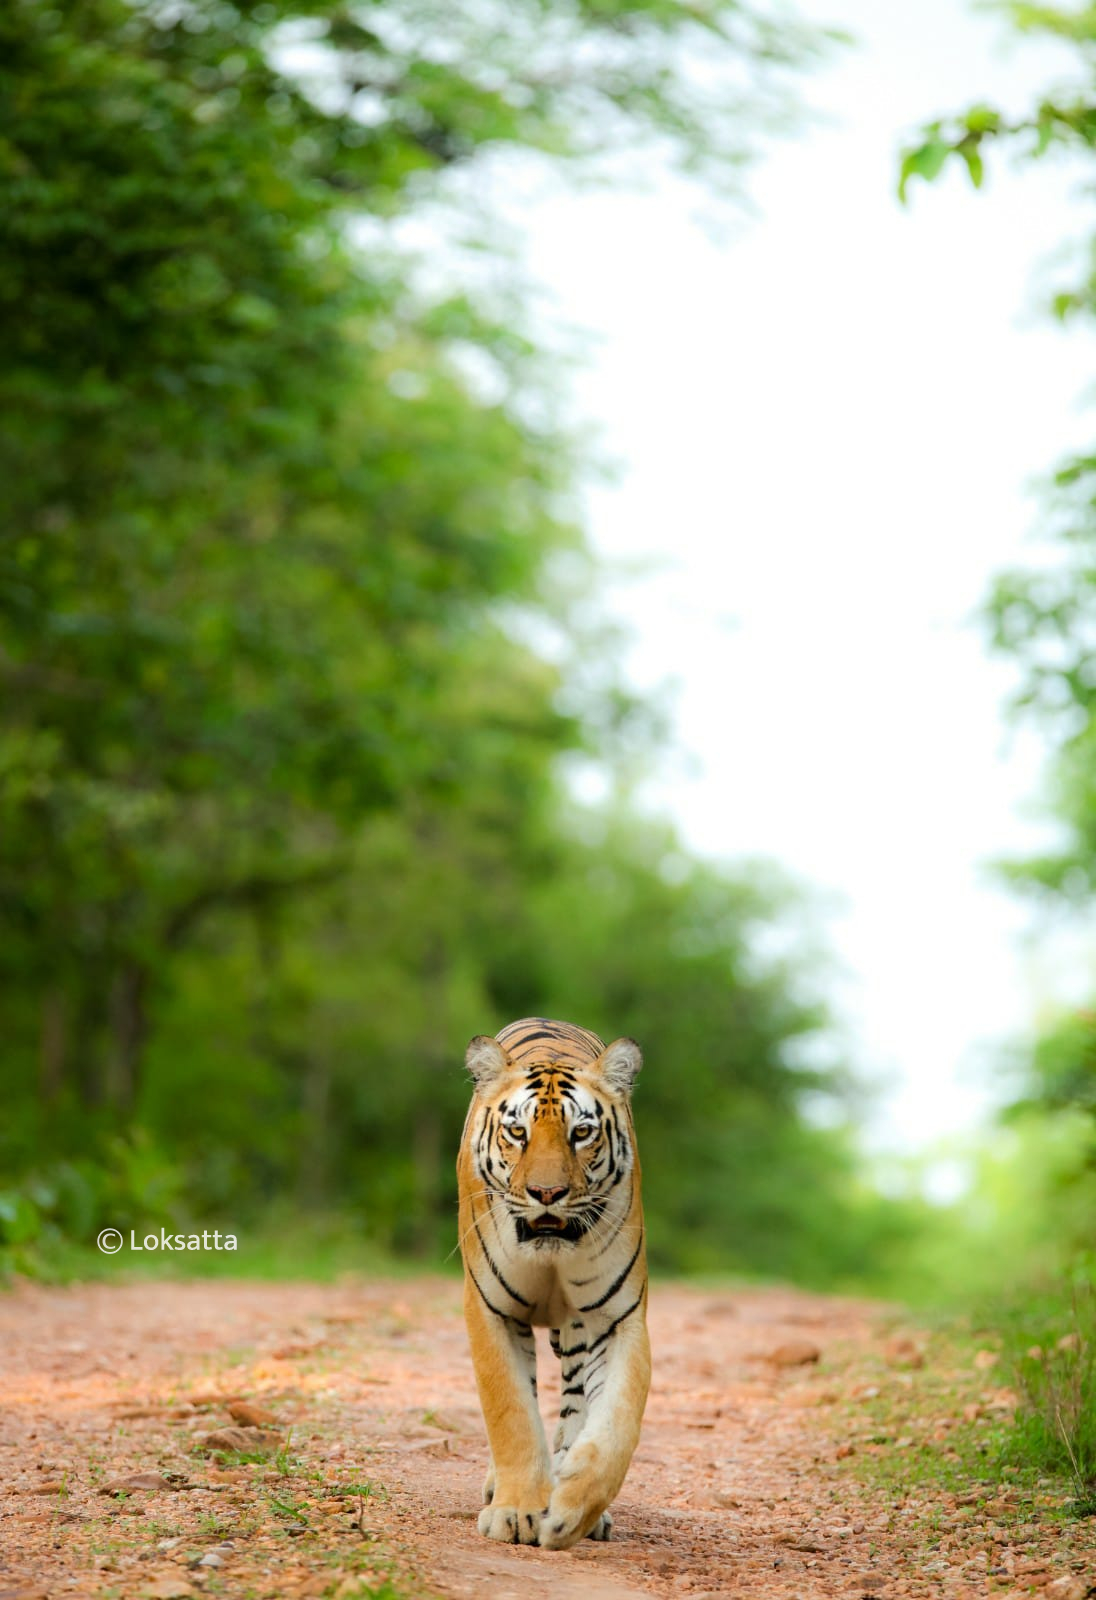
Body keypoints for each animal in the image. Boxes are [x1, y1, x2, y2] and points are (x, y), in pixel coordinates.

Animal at [454, 1011, 649, 1548]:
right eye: (517, 1132)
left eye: (581, 1132)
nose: (547, 1193)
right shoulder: (490, 1310)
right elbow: (511, 1412)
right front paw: (516, 1510)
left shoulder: (616, 1319)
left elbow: (617, 1423)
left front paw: (570, 1514)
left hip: (577, 1331)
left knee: (575, 1404)